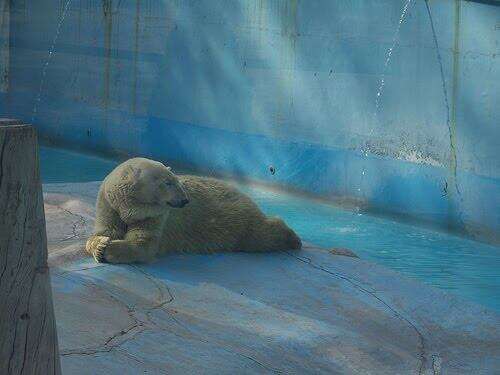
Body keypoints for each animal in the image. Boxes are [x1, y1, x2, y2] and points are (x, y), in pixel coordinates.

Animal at [86, 157, 300, 262]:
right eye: (167, 182)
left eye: (176, 180)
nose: (185, 200)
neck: (127, 206)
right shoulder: (108, 204)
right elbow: (105, 230)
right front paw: (100, 244)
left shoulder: (156, 215)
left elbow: (143, 243)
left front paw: (107, 249)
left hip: (234, 219)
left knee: (259, 235)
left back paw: (292, 238)